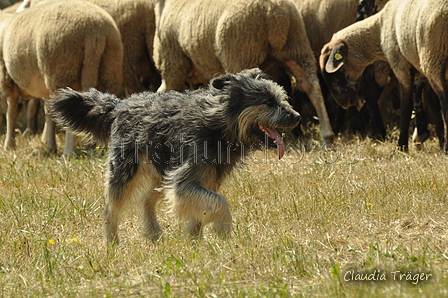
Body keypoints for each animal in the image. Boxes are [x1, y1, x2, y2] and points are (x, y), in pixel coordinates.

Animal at [0, 0, 122, 156]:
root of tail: (94, 32)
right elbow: (48, 114)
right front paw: (50, 146)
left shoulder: (7, 78)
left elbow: (12, 112)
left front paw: (9, 145)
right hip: (109, 66)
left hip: (62, 70)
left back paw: (68, 152)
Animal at [48, 69, 300, 244]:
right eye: (267, 102)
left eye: (281, 98)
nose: (297, 116)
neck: (219, 126)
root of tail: (120, 103)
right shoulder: (184, 180)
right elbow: (219, 202)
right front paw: (223, 231)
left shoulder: (201, 181)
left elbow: (203, 208)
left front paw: (193, 242)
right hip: (126, 169)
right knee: (111, 209)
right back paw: (112, 244)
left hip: (162, 171)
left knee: (146, 199)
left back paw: (153, 232)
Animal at [152, 0, 334, 146]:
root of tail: (274, 11)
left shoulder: (172, 62)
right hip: (296, 46)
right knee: (313, 87)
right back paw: (327, 136)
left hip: (241, 52)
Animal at [318, 0, 448, 152]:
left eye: (335, 75)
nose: (343, 104)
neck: (379, 30)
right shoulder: (419, 69)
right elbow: (429, 99)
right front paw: (437, 139)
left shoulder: (400, 65)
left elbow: (406, 107)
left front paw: (402, 146)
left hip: (434, 59)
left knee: (444, 105)